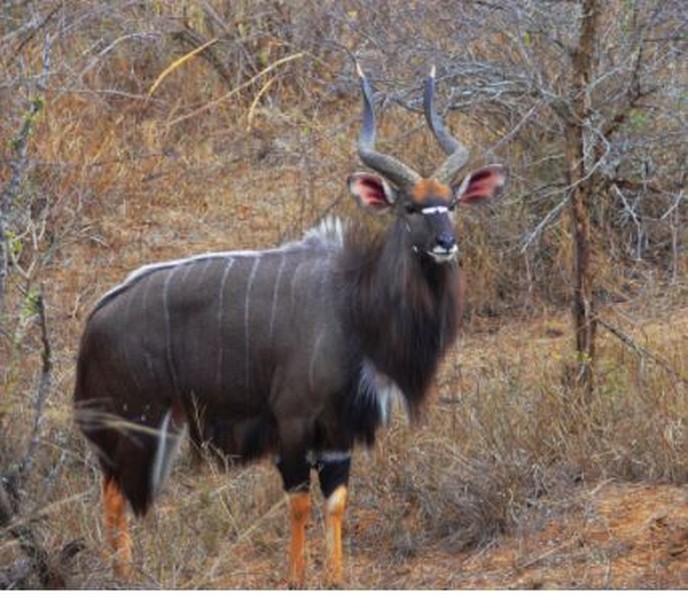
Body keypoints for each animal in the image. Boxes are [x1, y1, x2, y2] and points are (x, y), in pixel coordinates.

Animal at [75, 64, 506, 584]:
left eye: (452, 204)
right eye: (410, 207)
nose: (446, 243)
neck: (354, 306)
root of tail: (96, 319)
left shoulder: (340, 432)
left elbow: (336, 501)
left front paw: (336, 577)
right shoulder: (294, 422)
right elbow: (299, 502)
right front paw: (297, 576)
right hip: (136, 425)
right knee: (115, 494)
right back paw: (123, 575)